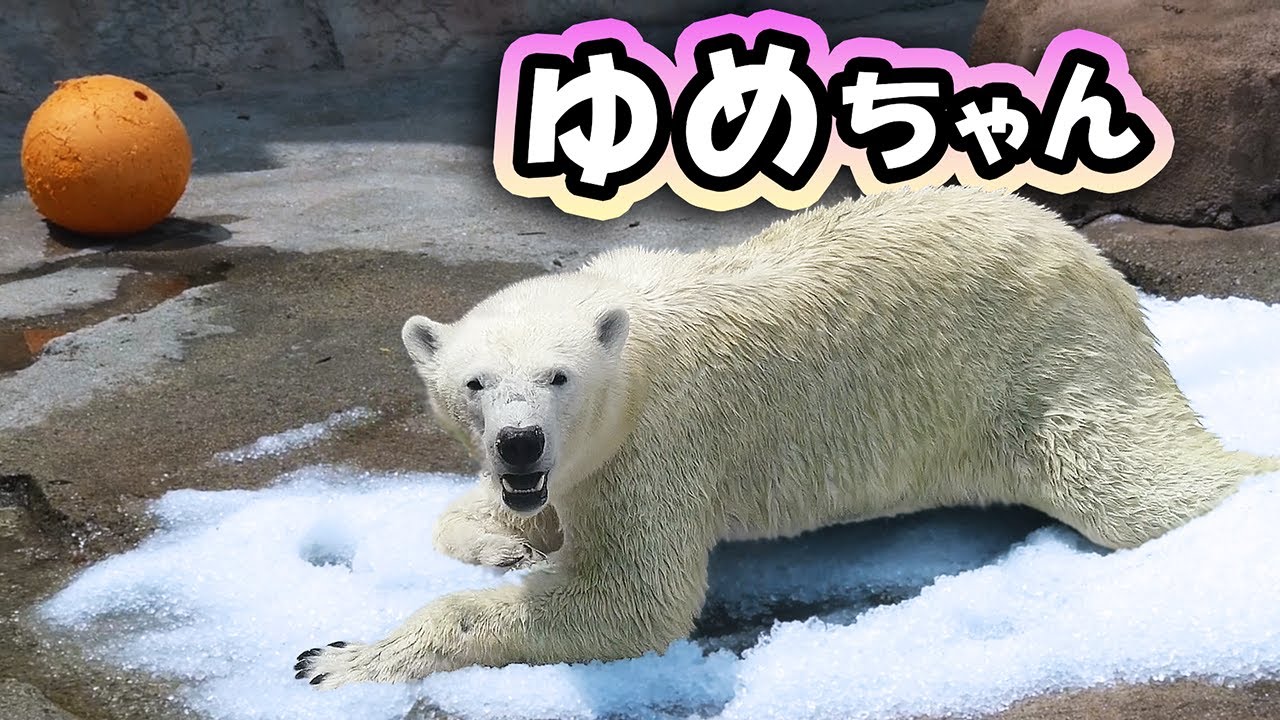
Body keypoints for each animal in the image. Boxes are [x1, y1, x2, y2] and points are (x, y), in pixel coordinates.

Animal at [294, 186, 1280, 688]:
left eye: (558, 377)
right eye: (474, 384)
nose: (520, 444)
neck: (624, 330)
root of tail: (1094, 262)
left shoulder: (658, 441)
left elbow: (633, 598)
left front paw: (334, 656)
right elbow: (489, 519)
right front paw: (505, 540)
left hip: (1041, 364)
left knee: (1132, 482)